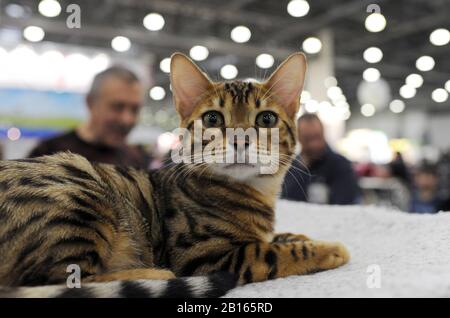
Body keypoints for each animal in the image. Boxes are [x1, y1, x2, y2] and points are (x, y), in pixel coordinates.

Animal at [0, 52, 350, 298]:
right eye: (212, 118)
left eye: (266, 119)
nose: (241, 139)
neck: (257, 192)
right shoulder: (208, 255)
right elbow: (273, 251)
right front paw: (327, 248)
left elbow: (276, 237)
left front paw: (297, 235)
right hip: (77, 193)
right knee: (62, 282)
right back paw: (154, 275)